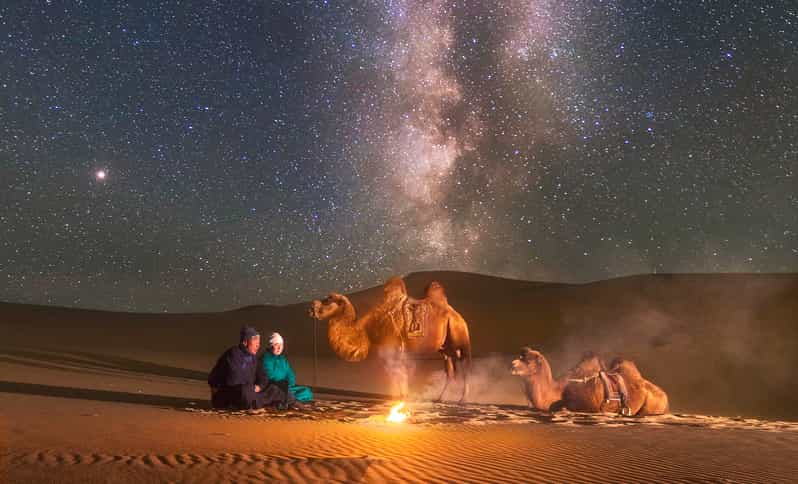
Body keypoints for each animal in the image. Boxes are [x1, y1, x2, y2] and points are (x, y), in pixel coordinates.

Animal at [310, 278, 472, 402]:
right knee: (450, 370)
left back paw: (463, 399)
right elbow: (397, 373)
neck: (368, 327)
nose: (312, 307)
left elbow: (398, 372)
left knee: (464, 366)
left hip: (459, 334)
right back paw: (440, 398)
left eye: (328, 299)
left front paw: (402, 398)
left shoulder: (394, 346)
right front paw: (399, 397)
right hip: (445, 347)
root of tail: (456, 314)